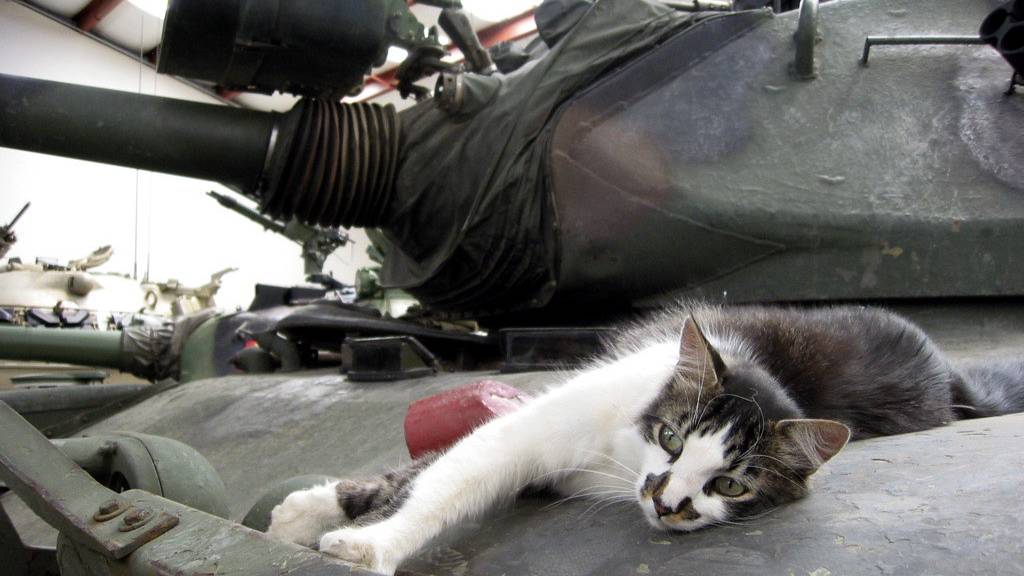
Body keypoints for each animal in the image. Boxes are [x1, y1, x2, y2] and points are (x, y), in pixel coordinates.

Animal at [266, 304, 1024, 575]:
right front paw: (366, 540)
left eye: (730, 484)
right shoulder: (533, 429)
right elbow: (445, 478)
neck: (621, 456)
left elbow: (440, 472)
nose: (669, 501)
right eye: (672, 437)